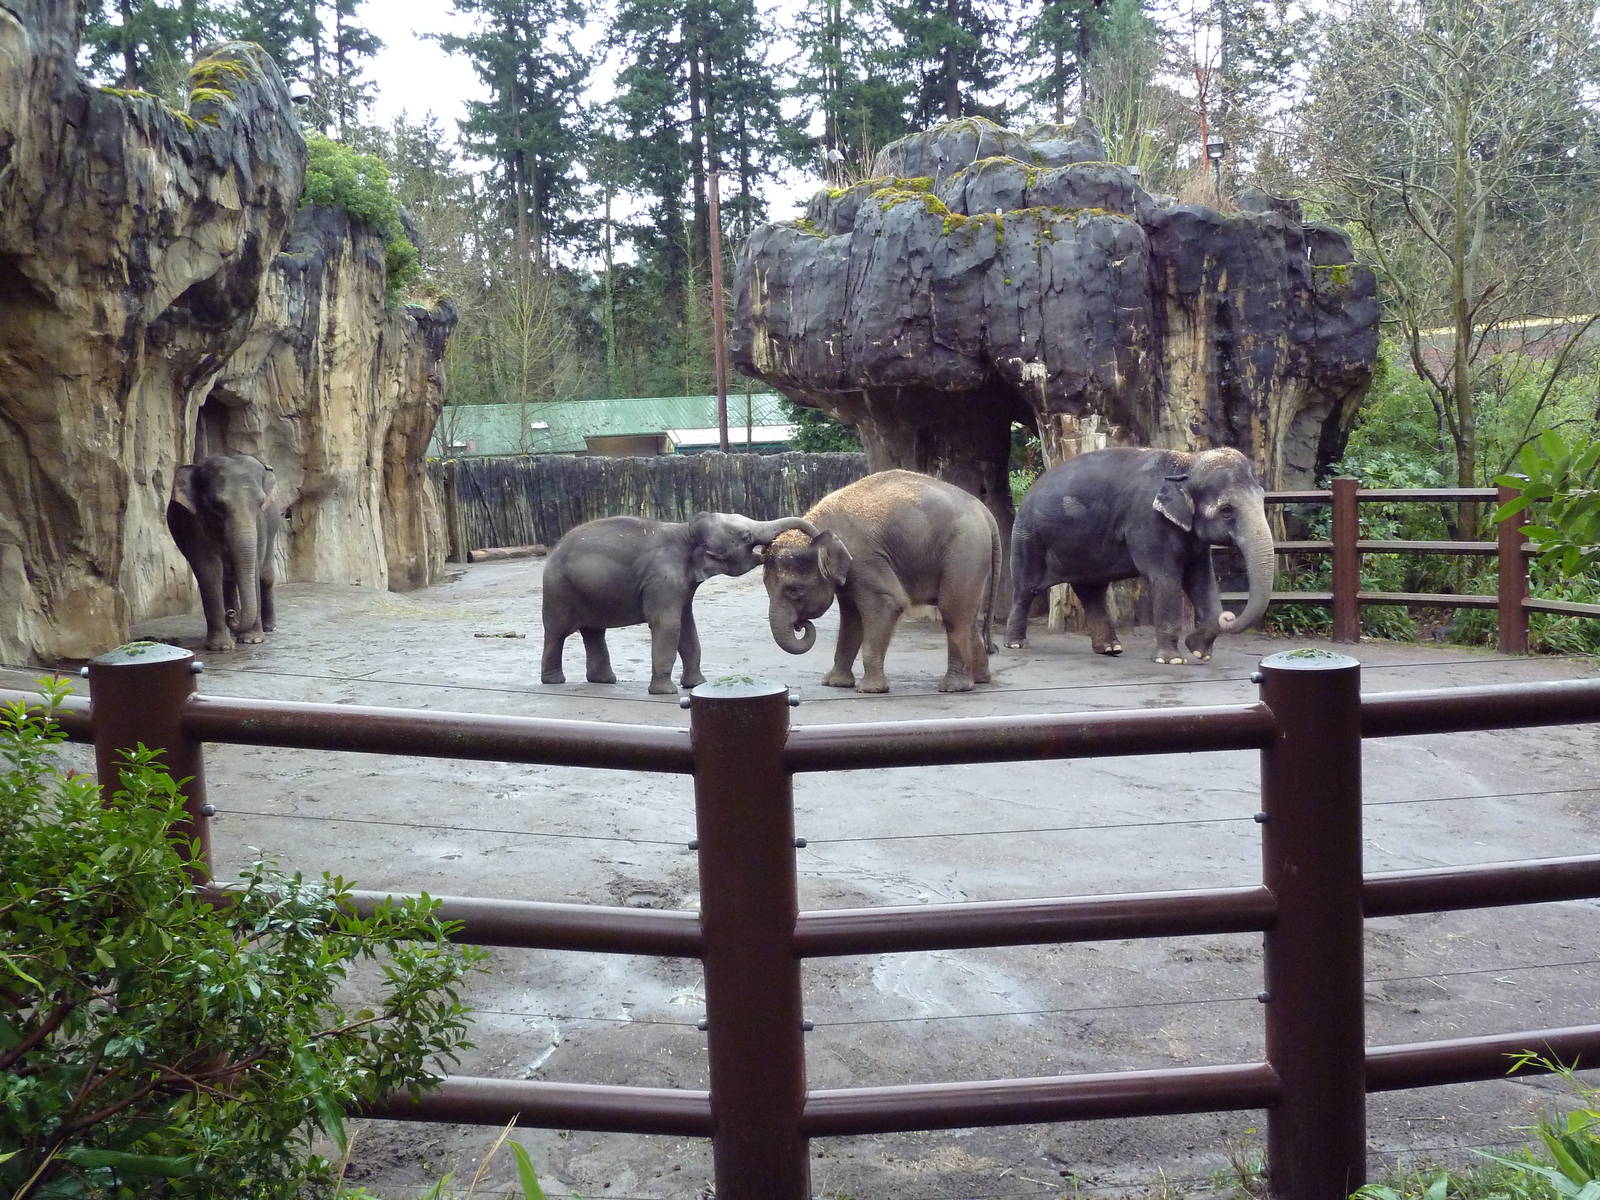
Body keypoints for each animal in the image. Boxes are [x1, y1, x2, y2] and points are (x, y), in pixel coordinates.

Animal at [166, 452, 280, 652]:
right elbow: (208, 570)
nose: (231, 614)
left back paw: (269, 627)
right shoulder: (194, 523)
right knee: (227, 580)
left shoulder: (260, 524)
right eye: (217, 505)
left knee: (265, 575)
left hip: (273, 523)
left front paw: (252, 640)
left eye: (260, 503)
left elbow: (254, 566)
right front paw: (221, 648)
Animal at [540, 511, 820, 695]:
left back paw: (603, 681)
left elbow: (687, 628)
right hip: (558, 590)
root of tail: (553, 550)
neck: (686, 531)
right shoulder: (663, 579)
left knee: (594, 632)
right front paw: (666, 692)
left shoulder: (682, 585)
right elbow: (669, 625)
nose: (817, 539)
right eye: (745, 535)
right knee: (557, 632)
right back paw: (554, 681)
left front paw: (696, 684)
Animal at [763, 470, 1001, 693]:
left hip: (965, 550)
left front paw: (869, 689)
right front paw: (835, 683)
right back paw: (980, 679)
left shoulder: (865, 559)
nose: (801, 625)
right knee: (967, 614)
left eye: (795, 590)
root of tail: (986, 513)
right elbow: (851, 619)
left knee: (952, 611)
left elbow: (888, 604)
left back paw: (954, 687)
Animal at [1004, 446, 1276, 664]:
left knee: (1091, 591)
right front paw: (1172, 660)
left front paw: (1200, 652)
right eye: (1227, 510)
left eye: (1262, 499)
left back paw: (1110, 649)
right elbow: (1166, 579)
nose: (1229, 616)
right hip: (1028, 537)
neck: (1187, 463)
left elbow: (1201, 581)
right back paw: (1016, 644)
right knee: (1026, 589)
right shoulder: (1147, 522)